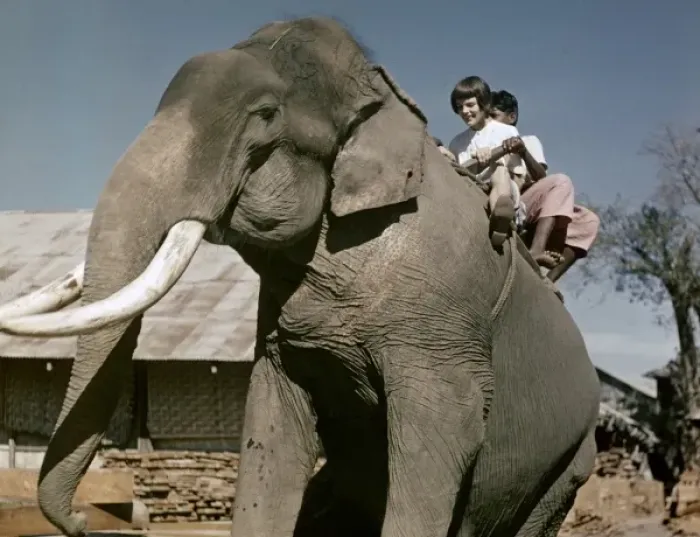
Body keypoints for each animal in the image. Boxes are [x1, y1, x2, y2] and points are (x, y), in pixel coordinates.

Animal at [0, 16, 601, 537]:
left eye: (265, 114)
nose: (83, 522)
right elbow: (271, 424)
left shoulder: (444, 329)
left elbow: (442, 433)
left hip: (571, 461)